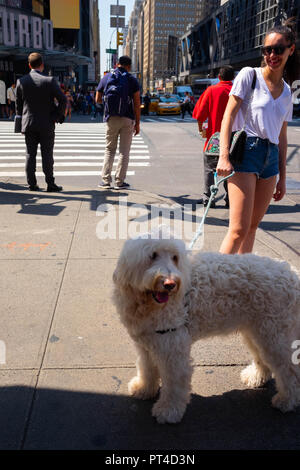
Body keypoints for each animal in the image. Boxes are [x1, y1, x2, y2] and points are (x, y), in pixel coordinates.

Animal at [112, 237, 300, 424]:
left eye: (175, 257)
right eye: (152, 255)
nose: (170, 284)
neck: (147, 305)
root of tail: (293, 274)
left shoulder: (172, 347)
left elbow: (173, 383)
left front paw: (168, 411)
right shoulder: (147, 343)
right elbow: (147, 368)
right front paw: (143, 389)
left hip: (275, 334)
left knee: (290, 369)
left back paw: (287, 400)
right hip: (256, 330)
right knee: (262, 357)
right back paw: (255, 377)